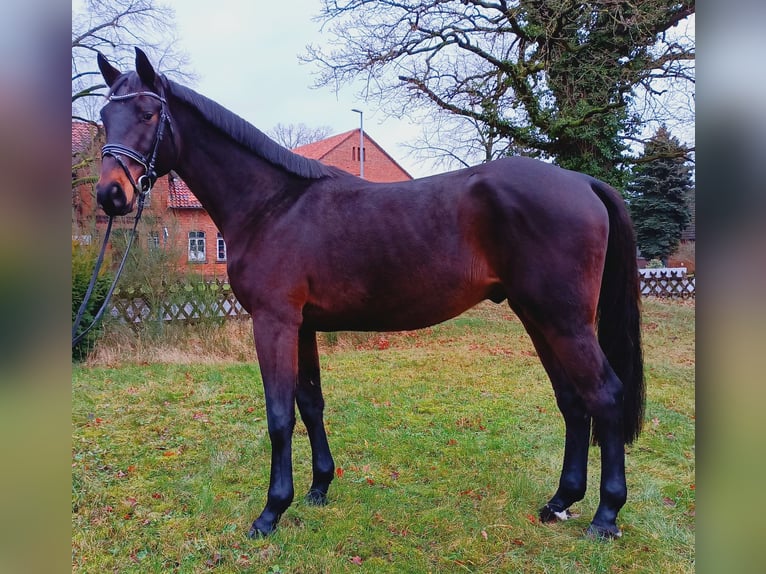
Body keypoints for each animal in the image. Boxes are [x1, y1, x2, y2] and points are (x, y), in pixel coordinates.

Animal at [96, 49, 648, 540]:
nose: (110, 194)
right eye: (104, 116)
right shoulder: (303, 326)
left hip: (564, 321)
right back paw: (560, 503)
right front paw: (318, 488)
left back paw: (606, 516)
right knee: (572, 401)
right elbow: (310, 403)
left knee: (604, 394)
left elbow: (279, 415)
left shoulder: (274, 321)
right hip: (539, 318)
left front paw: (271, 512)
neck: (273, 204)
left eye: (147, 113)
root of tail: (581, 181)